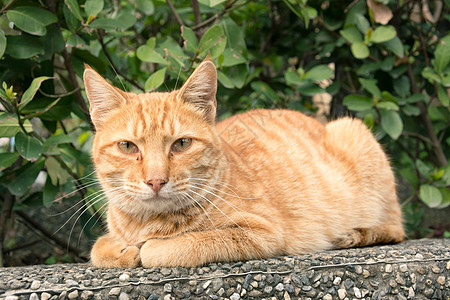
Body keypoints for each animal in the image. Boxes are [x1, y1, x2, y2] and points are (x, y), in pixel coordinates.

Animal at [83, 58, 404, 268]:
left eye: (182, 144)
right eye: (127, 146)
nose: (156, 180)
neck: (145, 223)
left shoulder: (261, 234)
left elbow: (175, 247)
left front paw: (147, 248)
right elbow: (98, 248)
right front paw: (121, 250)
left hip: (352, 131)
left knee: (395, 229)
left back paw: (354, 235)